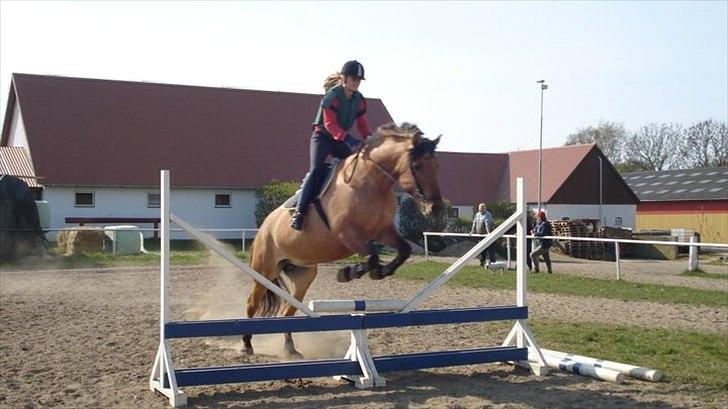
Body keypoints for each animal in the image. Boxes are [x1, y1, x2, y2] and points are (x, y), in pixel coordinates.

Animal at [245, 122, 444, 356]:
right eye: (418, 166)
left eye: (437, 166)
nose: (436, 208)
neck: (371, 182)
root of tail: (264, 226)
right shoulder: (347, 234)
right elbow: (372, 257)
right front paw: (349, 272)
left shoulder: (383, 231)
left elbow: (403, 250)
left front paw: (380, 272)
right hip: (264, 270)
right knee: (252, 303)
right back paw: (246, 345)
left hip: (302, 274)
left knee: (288, 311)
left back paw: (290, 348)